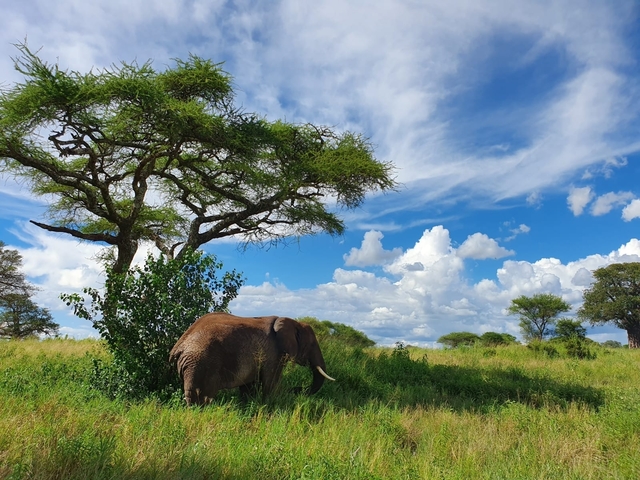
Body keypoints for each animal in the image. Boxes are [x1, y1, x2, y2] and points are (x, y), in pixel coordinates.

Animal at [169, 312, 335, 406]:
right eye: (312, 344)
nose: (296, 389)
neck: (291, 322)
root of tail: (178, 345)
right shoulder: (273, 353)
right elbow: (270, 383)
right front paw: (269, 405)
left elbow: (249, 385)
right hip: (200, 363)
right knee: (202, 395)